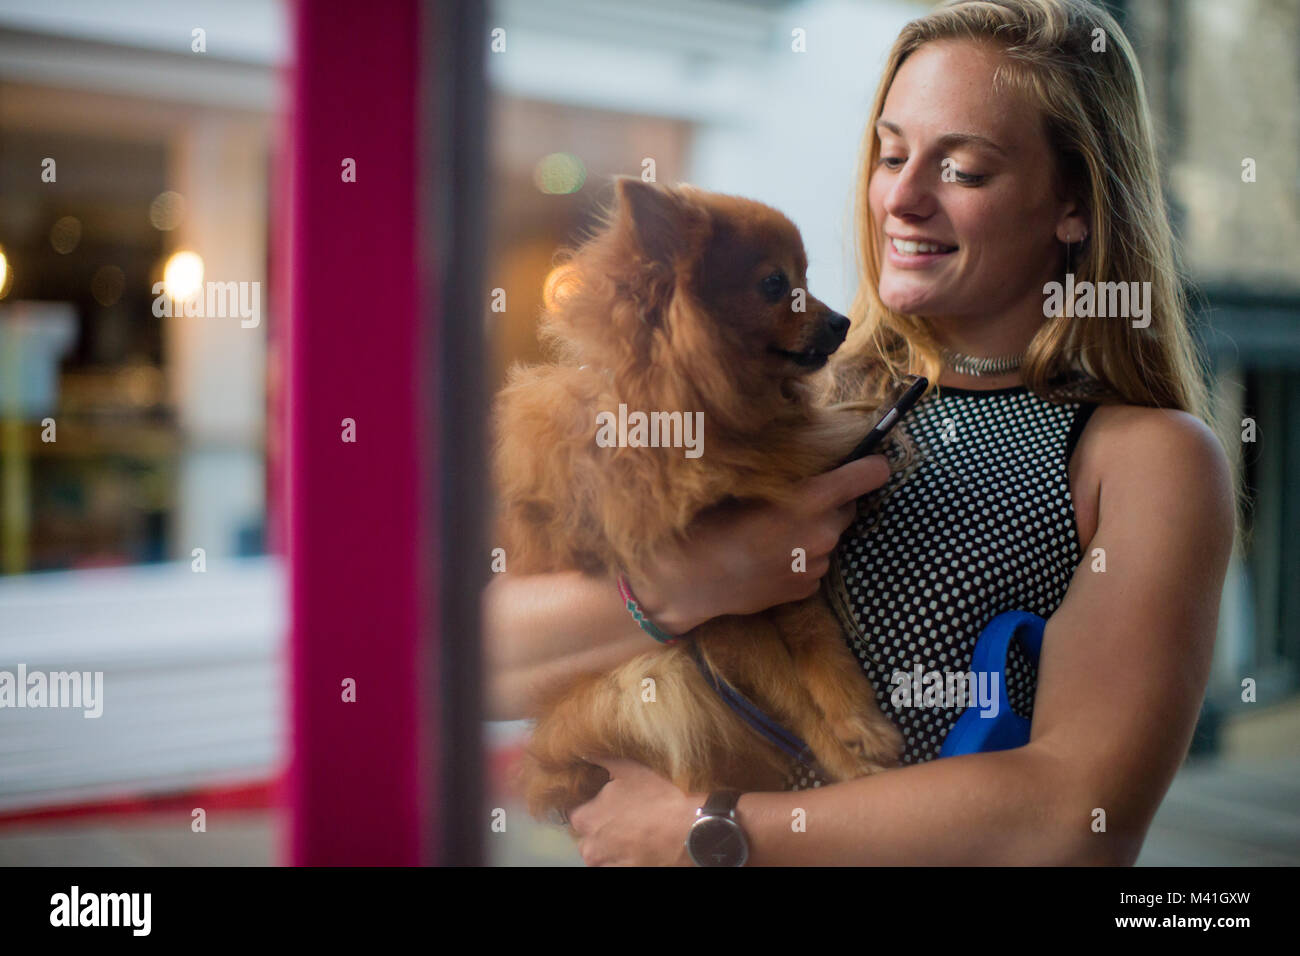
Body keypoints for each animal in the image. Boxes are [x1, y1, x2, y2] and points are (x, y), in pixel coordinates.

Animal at [491, 178, 899, 822]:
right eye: (775, 284)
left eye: (806, 279)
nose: (840, 320)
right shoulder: (726, 617)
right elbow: (792, 697)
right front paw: (848, 761)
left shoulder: (789, 581)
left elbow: (822, 647)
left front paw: (862, 724)